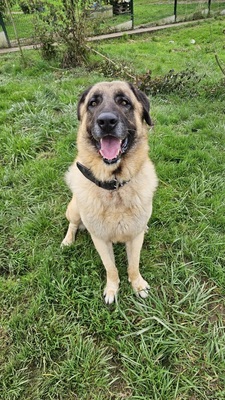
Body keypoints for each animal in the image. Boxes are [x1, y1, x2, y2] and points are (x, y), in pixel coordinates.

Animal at [60, 81, 157, 304]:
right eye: (93, 103)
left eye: (124, 102)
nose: (106, 122)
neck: (114, 186)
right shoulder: (101, 241)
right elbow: (111, 268)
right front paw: (112, 289)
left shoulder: (135, 238)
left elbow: (133, 265)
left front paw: (138, 285)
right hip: (75, 209)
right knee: (72, 224)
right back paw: (68, 240)